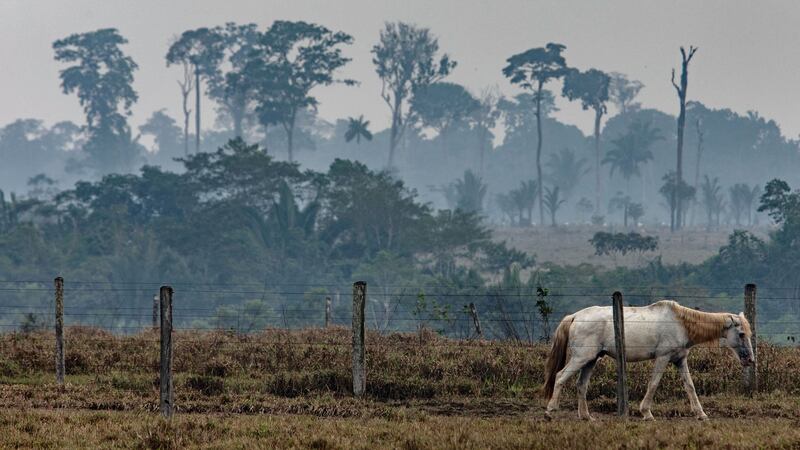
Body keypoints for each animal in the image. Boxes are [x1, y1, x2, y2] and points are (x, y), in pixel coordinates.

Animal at [540, 300, 752, 420]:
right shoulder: (663, 358)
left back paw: (586, 416)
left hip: (591, 360)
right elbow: (654, 383)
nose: (750, 360)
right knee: (560, 377)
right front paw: (646, 413)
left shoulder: (680, 360)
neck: (680, 323)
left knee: (581, 385)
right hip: (581, 358)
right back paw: (550, 411)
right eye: (741, 334)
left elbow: (690, 387)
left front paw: (701, 414)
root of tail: (575, 316)